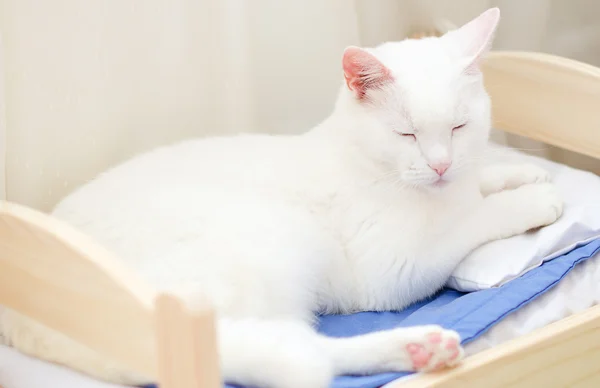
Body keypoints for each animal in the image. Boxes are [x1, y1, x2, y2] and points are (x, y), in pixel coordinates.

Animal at [0, 7, 564, 388]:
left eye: (458, 127)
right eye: (406, 135)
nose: (441, 164)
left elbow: (480, 184)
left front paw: (522, 171)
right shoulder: (394, 268)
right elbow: (477, 216)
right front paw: (537, 200)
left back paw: (419, 349)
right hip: (265, 248)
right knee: (298, 354)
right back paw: (413, 346)